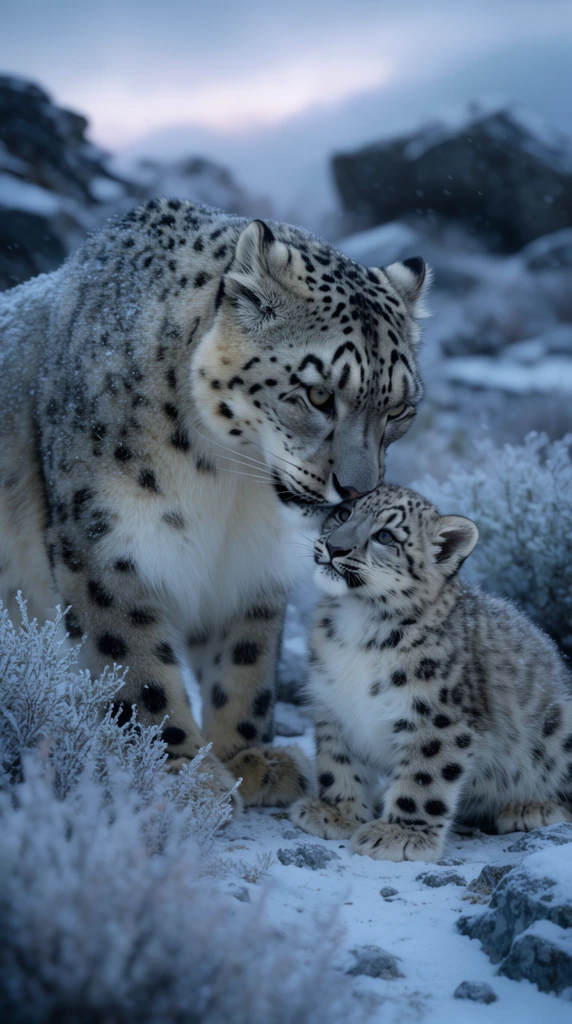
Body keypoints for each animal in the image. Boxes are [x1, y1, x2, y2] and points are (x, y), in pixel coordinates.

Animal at [0, 199, 431, 809]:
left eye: (398, 409)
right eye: (319, 394)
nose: (357, 488)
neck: (230, 484)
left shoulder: (251, 565)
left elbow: (245, 660)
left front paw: (248, 757)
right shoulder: (105, 543)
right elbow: (136, 666)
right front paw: (182, 772)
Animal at [291, 482, 572, 860]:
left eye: (385, 536)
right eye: (343, 513)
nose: (335, 547)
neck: (357, 623)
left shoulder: (437, 718)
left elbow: (424, 777)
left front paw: (400, 835)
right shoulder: (333, 704)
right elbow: (337, 761)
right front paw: (336, 813)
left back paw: (531, 807)